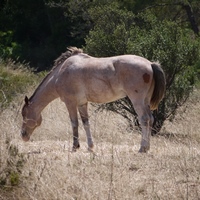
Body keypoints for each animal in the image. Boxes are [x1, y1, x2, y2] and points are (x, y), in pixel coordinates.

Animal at [20, 47, 166, 153]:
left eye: (24, 114)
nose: (23, 135)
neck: (60, 73)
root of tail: (150, 64)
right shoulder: (82, 103)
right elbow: (86, 123)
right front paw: (90, 147)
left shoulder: (70, 102)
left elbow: (74, 124)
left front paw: (75, 146)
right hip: (145, 101)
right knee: (151, 119)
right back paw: (147, 147)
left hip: (137, 100)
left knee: (144, 119)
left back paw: (142, 148)